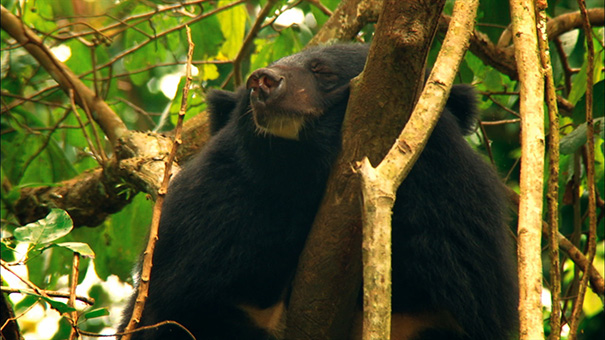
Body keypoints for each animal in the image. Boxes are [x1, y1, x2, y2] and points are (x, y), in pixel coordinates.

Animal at [119, 43, 520, 338]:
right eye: (250, 89)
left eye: (323, 71)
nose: (262, 81)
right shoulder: (206, 224)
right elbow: (177, 299)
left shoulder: (456, 231)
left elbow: (460, 272)